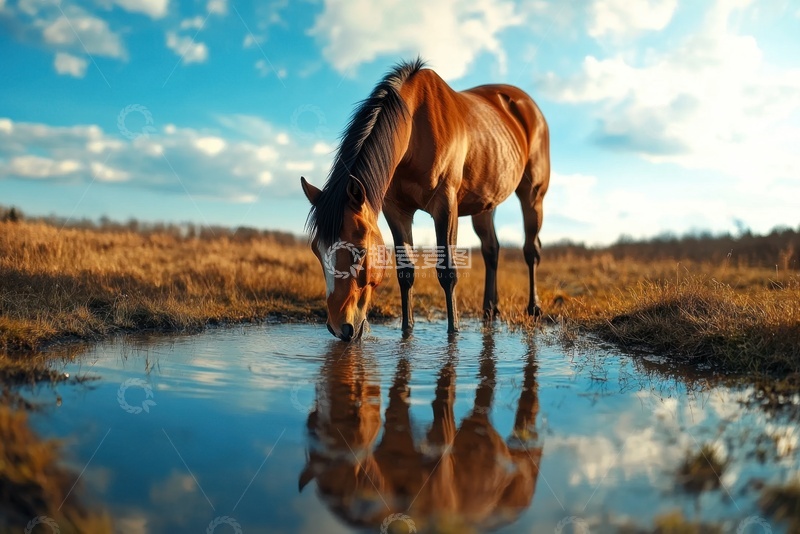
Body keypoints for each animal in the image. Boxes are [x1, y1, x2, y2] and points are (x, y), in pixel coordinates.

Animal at [302, 58, 550, 340]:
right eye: (316, 250)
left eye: (361, 251)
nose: (339, 327)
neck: (414, 128)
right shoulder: (396, 211)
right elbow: (405, 272)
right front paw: (407, 329)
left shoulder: (445, 206)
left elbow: (447, 271)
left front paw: (454, 332)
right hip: (485, 205)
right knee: (492, 250)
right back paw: (489, 309)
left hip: (533, 196)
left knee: (531, 250)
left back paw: (533, 308)